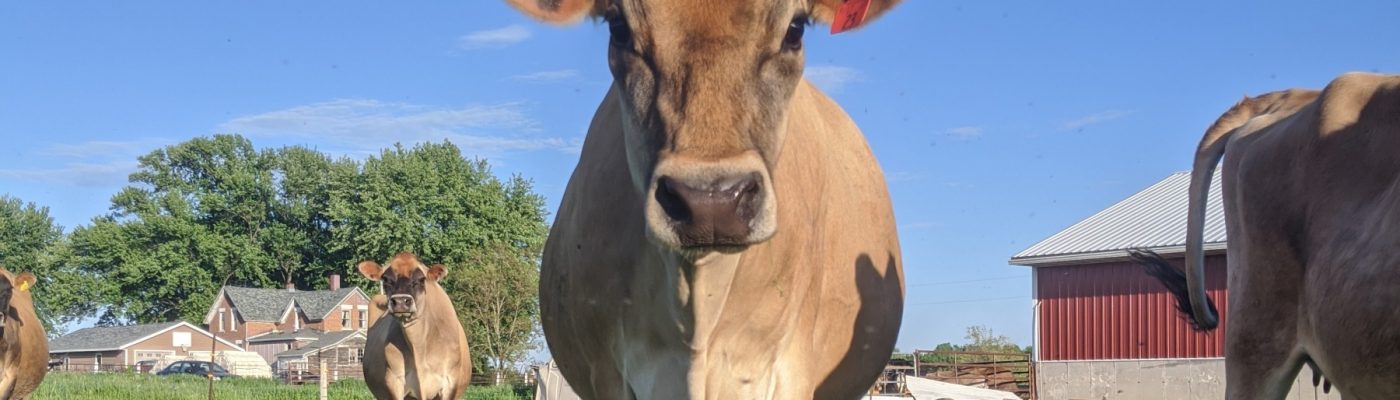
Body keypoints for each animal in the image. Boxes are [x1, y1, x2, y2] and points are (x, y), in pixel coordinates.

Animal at [358, 253, 473, 400]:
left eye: (421, 279)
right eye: (386, 279)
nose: (400, 301)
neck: (419, 346)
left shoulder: (450, 383)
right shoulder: (394, 381)